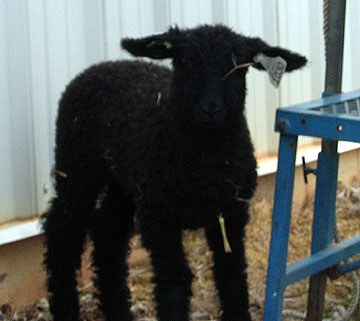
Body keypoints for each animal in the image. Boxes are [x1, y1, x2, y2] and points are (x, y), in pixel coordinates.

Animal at [42, 25, 306, 320]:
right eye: (186, 61)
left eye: (239, 65)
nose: (211, 108)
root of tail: (99, 66)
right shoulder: (160, 219)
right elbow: (175, 280)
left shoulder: (231, 214)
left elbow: (231, 274)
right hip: (77, 166)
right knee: (63, 230)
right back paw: (65, 308)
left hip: (125, 181)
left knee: (108, 233)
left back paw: (119, 311)